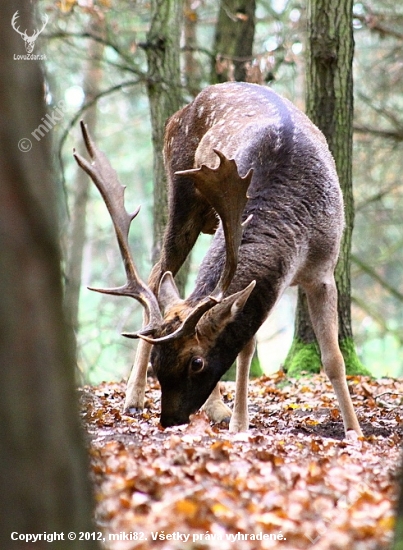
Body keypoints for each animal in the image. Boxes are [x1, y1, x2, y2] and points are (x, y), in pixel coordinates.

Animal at [74, 81, 364, 440]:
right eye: (158, 359)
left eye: (196, 362)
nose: (169, 419)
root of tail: (180, 112)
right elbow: (246, 348)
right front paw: (239, 423)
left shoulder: (324, 269)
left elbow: (334, 358)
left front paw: (355, 431)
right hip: (183, 195)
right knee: (157, 273)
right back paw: (137, 398)